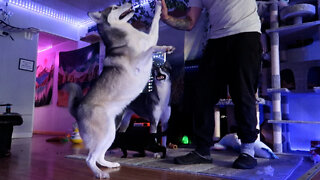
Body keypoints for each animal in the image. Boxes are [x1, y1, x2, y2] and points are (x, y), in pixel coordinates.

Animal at [65, 1, 175, 179]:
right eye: (115, 7)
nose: (130, 3)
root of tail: (77, 110)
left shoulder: (149, 38)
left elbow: (154, 30)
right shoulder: (141, 59)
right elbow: (151, 47)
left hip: (110, 134)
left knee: (99, 156)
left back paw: (109, 165)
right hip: (103, 134)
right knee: (90, 158)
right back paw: (99, 173)